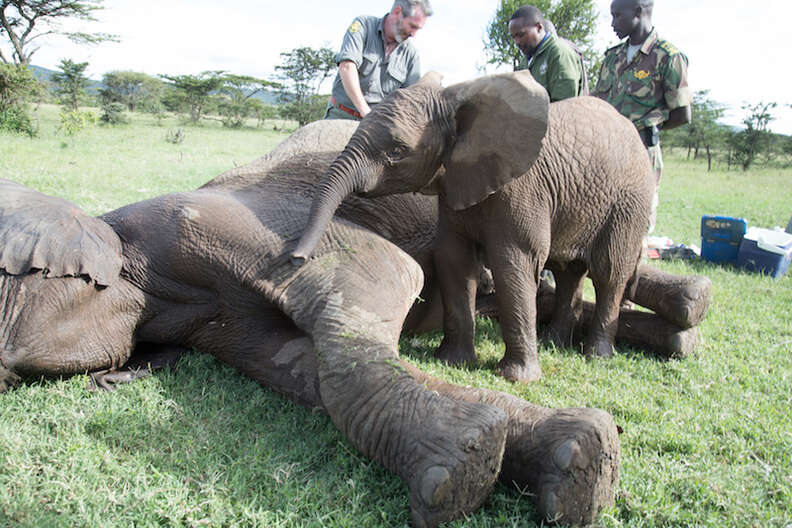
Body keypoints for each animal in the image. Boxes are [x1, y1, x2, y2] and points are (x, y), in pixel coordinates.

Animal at [294, 71, 652, 384]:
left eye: (397, 151)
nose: (297, 258)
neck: (455, 100)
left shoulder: (523, 190)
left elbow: (512, 263)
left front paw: (516, 378)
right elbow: (454, 259)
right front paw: (451, 361)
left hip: (629, 203)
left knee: (609, 271)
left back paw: (597, 355)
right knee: (569, 270)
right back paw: (553, 343)